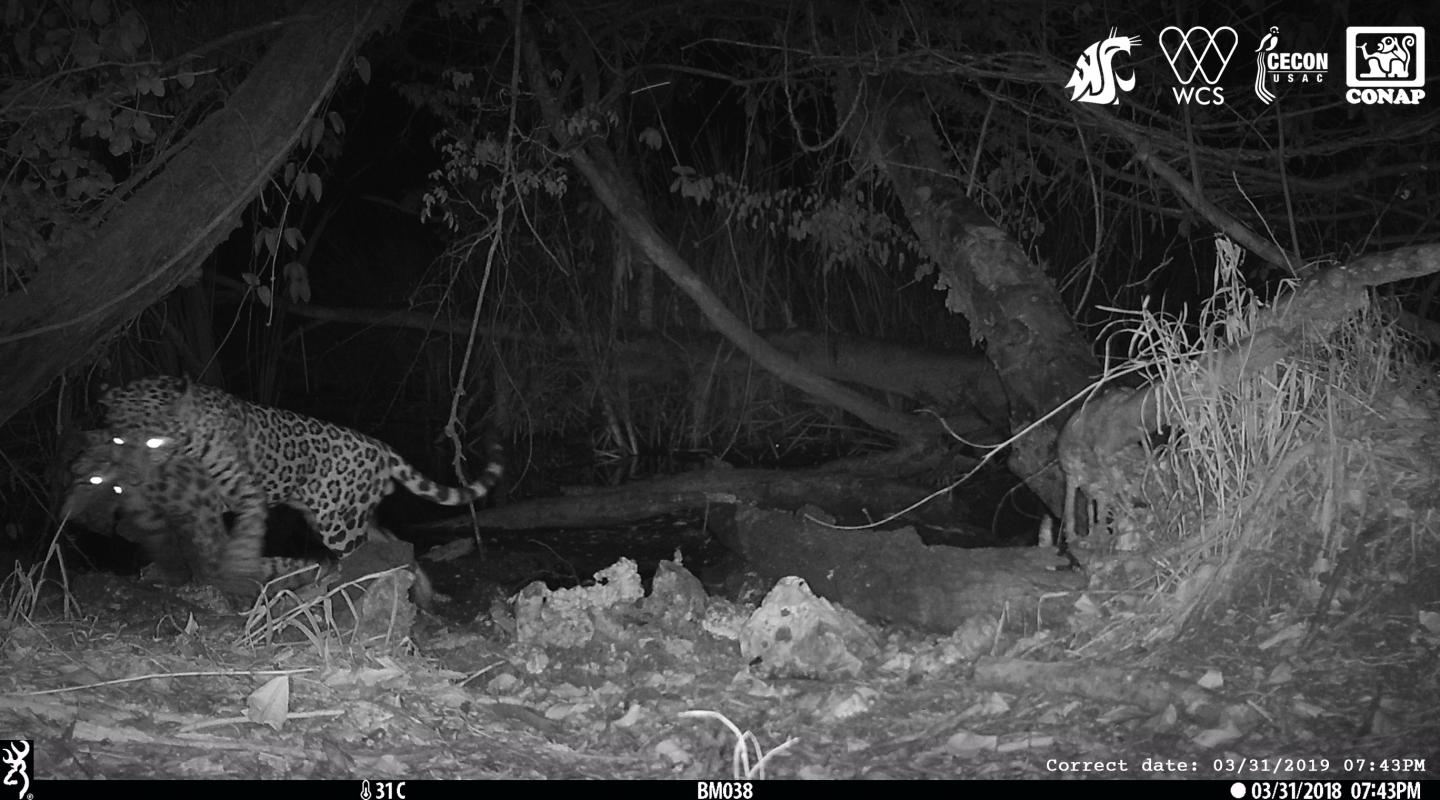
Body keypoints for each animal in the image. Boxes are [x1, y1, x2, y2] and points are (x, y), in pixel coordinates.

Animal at [99, 376, 504, 571]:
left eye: (153, 439)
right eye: (117, 438)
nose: (132, 476)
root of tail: (380, 446)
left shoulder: (243, 492)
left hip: (339, 522)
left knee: (361, 553)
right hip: (339, 512)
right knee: (390, 542)